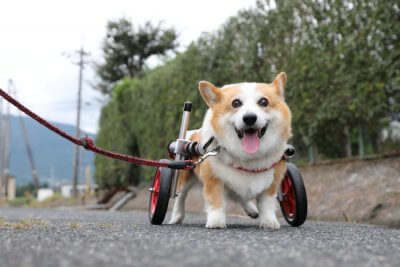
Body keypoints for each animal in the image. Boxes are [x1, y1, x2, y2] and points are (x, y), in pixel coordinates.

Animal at [169, 72, 290, 229]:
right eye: (236, 103)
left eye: (264, 102)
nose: (249, 118)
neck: (247, 158)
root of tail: (192, 134)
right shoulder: (214, 180)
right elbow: (216, 202)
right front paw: (216, 221)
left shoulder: (271, 183)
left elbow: (267, 204)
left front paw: (269, 222)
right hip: (185, 175)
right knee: (180, 196)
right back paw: (176, 217)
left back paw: (252, 210)